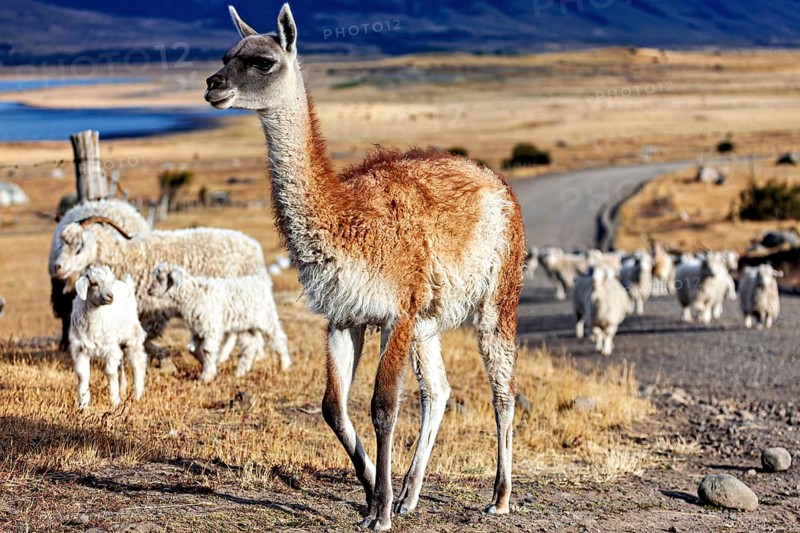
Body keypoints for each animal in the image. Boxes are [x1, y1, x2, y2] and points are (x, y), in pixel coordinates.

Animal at [52, 221, 267, 357]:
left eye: (79, 246)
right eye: (63, 243)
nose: (57, 267)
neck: (125, 257)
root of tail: (255, 247)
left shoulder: (155, 309)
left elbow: (146, 335)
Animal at [69, 265, 147, 408]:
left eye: (110, 282)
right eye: (94, 283)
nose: (110, 296)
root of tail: (127, 286)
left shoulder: (111, 348)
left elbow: (110, 372)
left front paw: (115, 401)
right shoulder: (80, 348)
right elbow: (82, 375)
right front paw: (83, 404)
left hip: (132, 337)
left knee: (138, 362)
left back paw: (136, 394)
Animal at [148, 263, 290, 382]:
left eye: (160, 278)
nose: (149, 291)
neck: (192, 293)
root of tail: (262, 281)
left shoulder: (210, 326)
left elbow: (207, 350)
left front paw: (207, 375)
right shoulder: (198, 328)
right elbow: (192, 349)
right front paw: (207, 365)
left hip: (267, 318)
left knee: (279, 337)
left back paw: (285, 365)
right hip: (243, 325)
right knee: (251, 344)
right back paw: (240, 372)